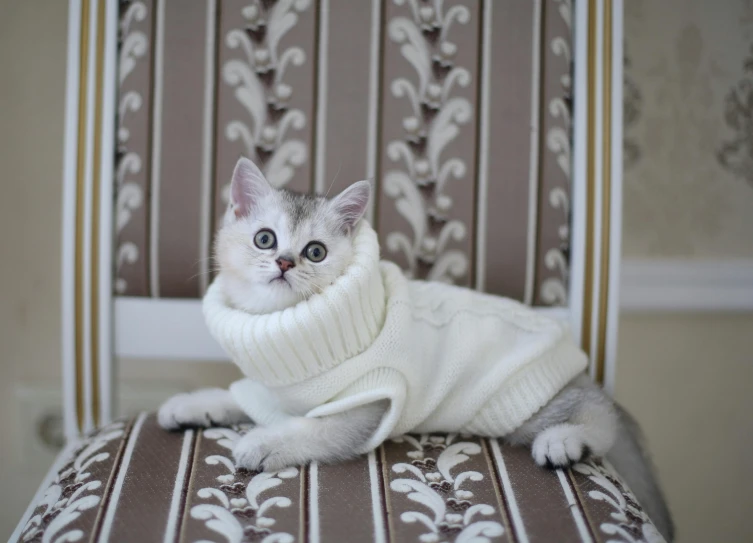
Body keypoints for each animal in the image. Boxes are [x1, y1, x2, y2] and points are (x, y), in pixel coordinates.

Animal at [159, 156, 676, 540]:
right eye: (264, 239)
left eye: (315, 252)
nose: (285, 262)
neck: (293, 328)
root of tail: (579, 368)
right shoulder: (272, 388)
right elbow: (235, 395)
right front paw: (193, 405)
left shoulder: (366, 406)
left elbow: (311, 429)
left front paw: (263, 442)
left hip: (524, 404)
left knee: (600, 414)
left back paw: (566, 440)